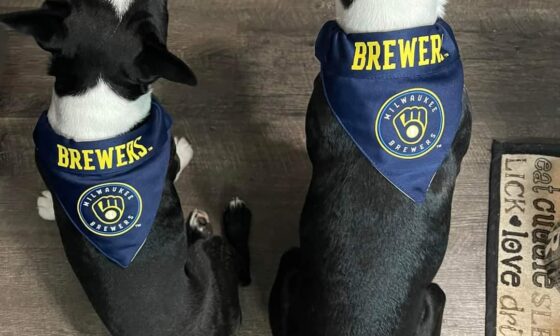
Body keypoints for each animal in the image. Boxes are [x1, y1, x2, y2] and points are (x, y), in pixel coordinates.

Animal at [0, 0, 249, 336]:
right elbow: (178, 162)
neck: (98, 91)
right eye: (160, 14)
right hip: (213, 259)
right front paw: (185, 148)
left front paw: (49, 206)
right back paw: (216, 222)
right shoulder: (167, 161)